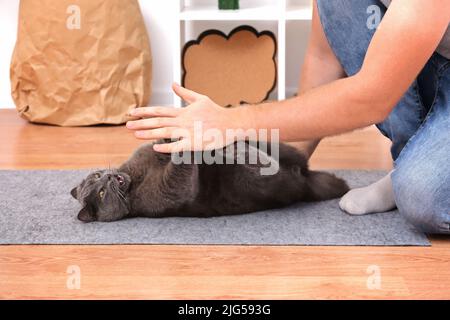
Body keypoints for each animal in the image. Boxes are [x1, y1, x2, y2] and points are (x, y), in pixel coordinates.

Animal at [72, 141, 350, 221]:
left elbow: (157, 148)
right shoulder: (166, 193)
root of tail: (304, 184)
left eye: (96, 177)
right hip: (256, 178)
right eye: (100, 194)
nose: (108, 176)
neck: (134, 181)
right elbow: (179, 172)